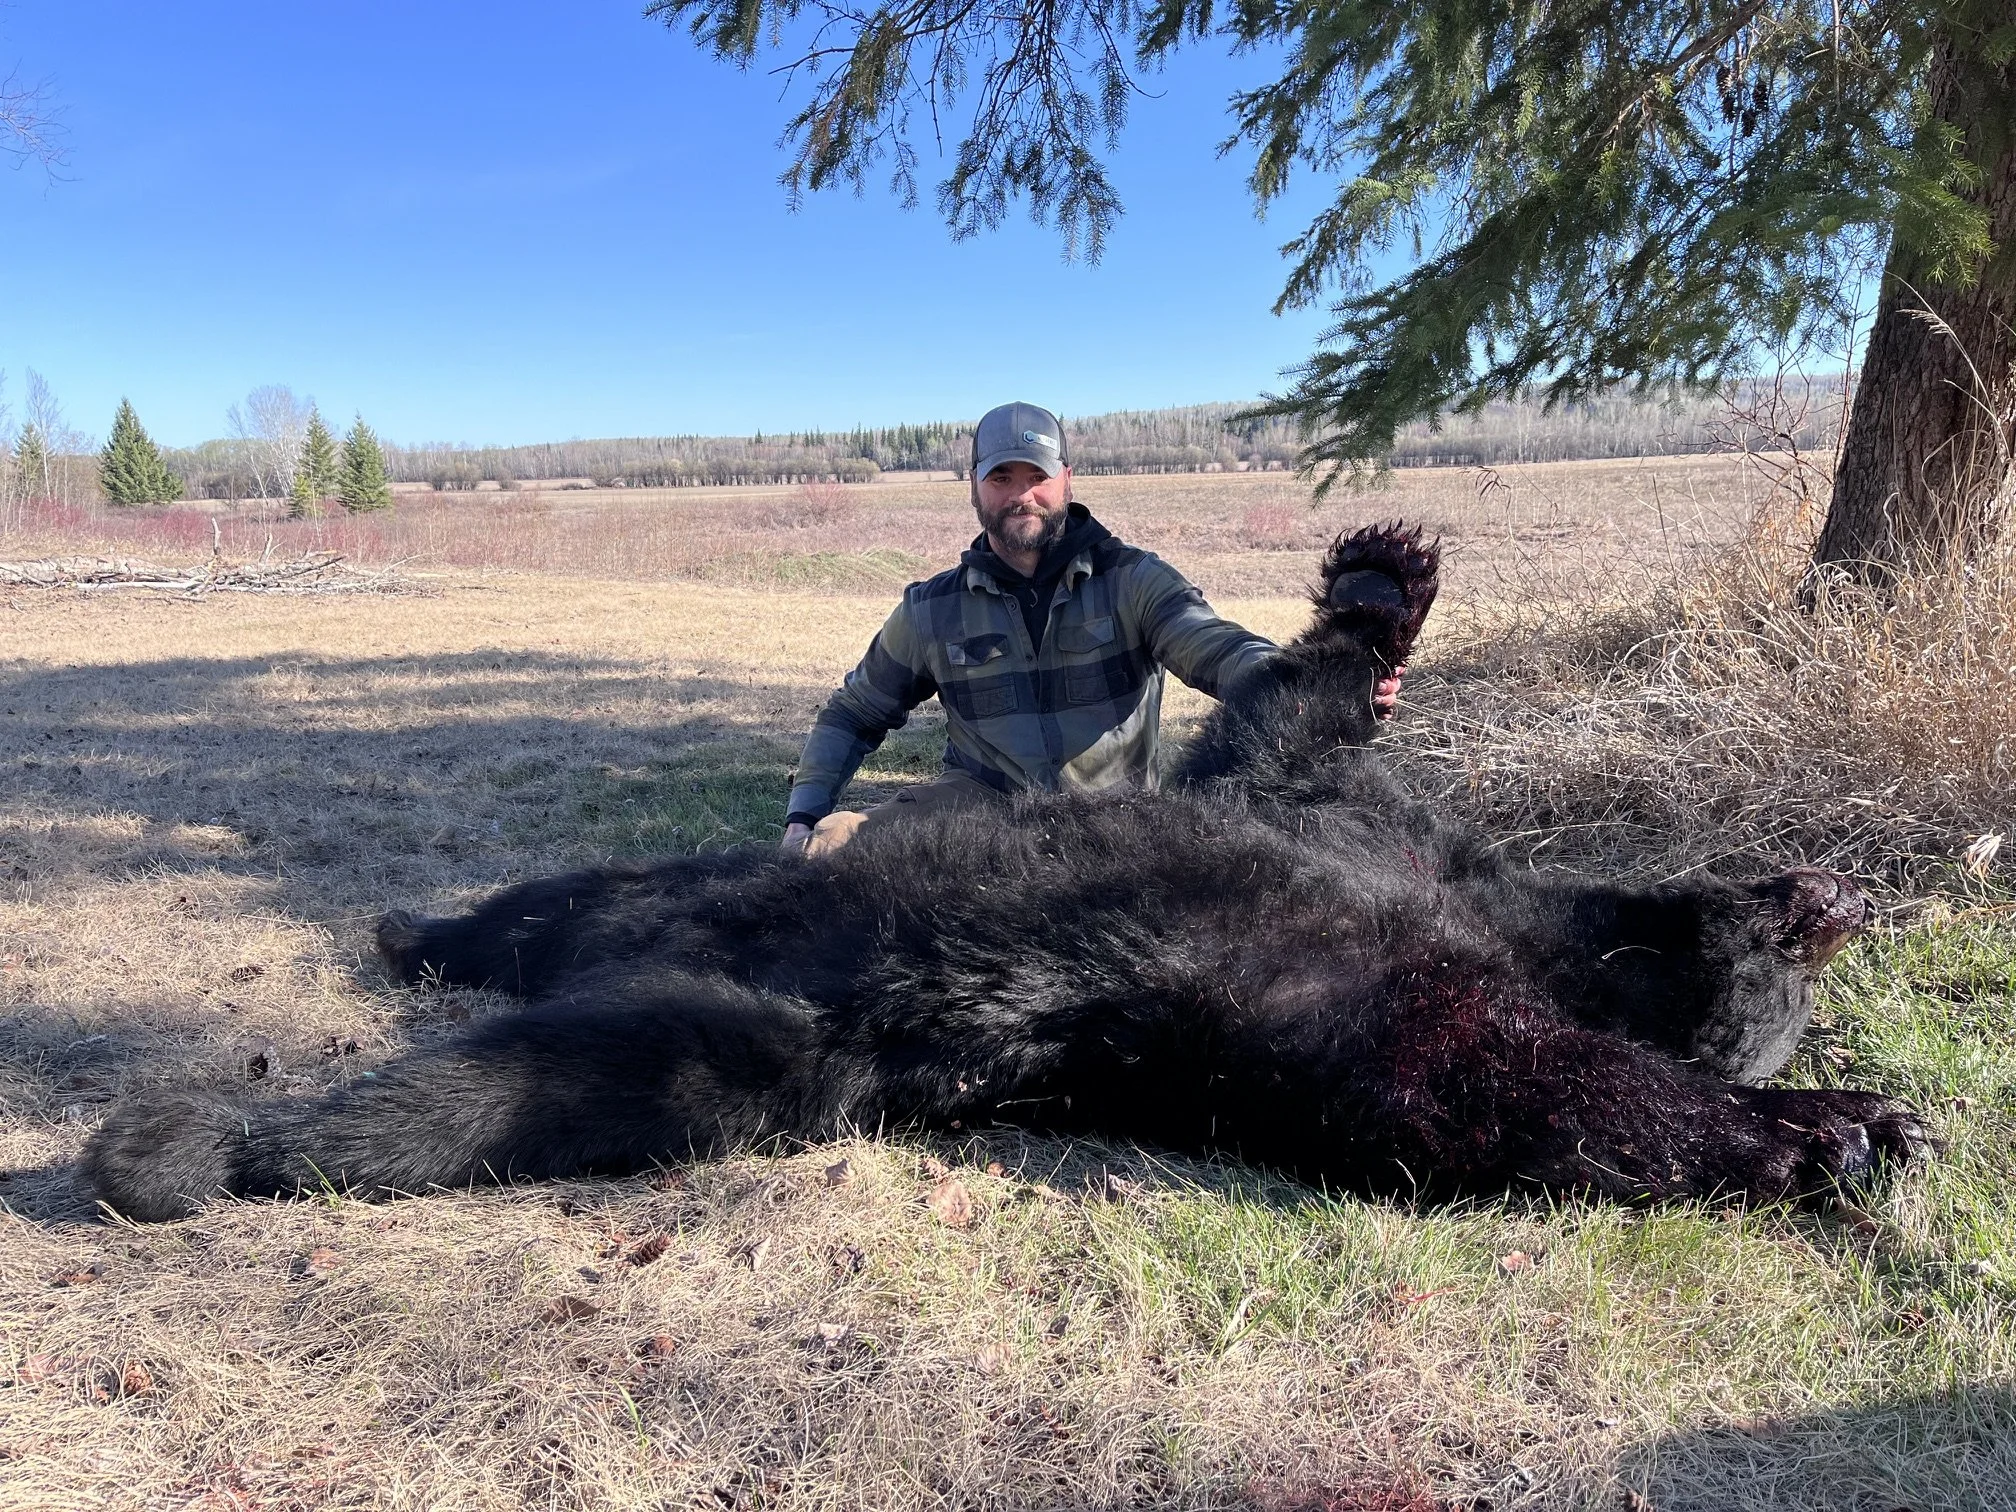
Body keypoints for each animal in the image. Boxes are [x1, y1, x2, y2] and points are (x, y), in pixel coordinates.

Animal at [82, 523, 1932, 1222]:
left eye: (1784, 983)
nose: (1828, 898)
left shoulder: (1349, 985)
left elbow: (1504, 1088)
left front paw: (1825, 1121)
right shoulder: (1344, 830)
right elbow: (1289, 712)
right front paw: (1381, 580)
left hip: (755, 1010)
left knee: (570, 1047)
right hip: (713, 921)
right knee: (550, 938)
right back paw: (386, 949)